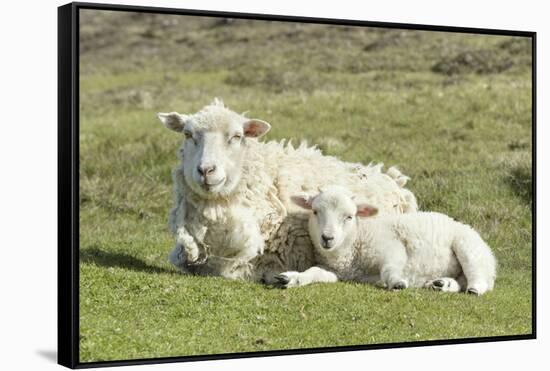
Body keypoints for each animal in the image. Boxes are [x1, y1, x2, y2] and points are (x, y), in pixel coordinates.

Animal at [280, 186, 496, 296]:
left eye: (349, 217)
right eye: (315, 212)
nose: (327, 238)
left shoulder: (392, 246)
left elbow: (389, 269)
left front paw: (396, 282)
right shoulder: (336, 272)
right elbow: (314, 272)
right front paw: (293, 278)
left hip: (469, 248)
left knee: (478, 276)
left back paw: (474, 289)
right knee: (460, 280)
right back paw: (442, 284)